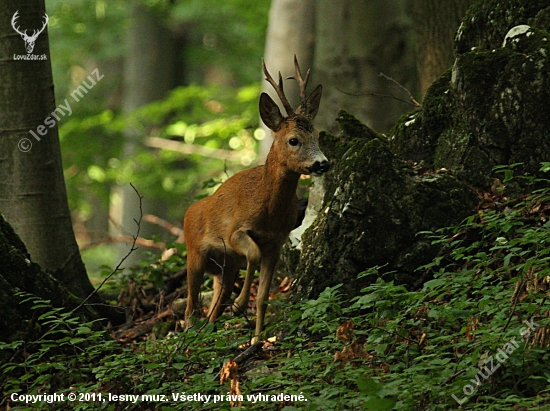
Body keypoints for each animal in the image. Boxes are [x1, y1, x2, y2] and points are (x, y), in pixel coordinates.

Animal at [185, 55, 332, 344]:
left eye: (318, 135)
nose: (322, 163)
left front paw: (256, 340)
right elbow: (252, 253)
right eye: (294, 140)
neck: (269, 212)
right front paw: (240, 305)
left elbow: (264, 296)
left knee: (213, 305)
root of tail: (188, 212)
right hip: (194, 254)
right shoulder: (235, 230)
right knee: (190, 305)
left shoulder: (276, 242)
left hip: (223, 267)